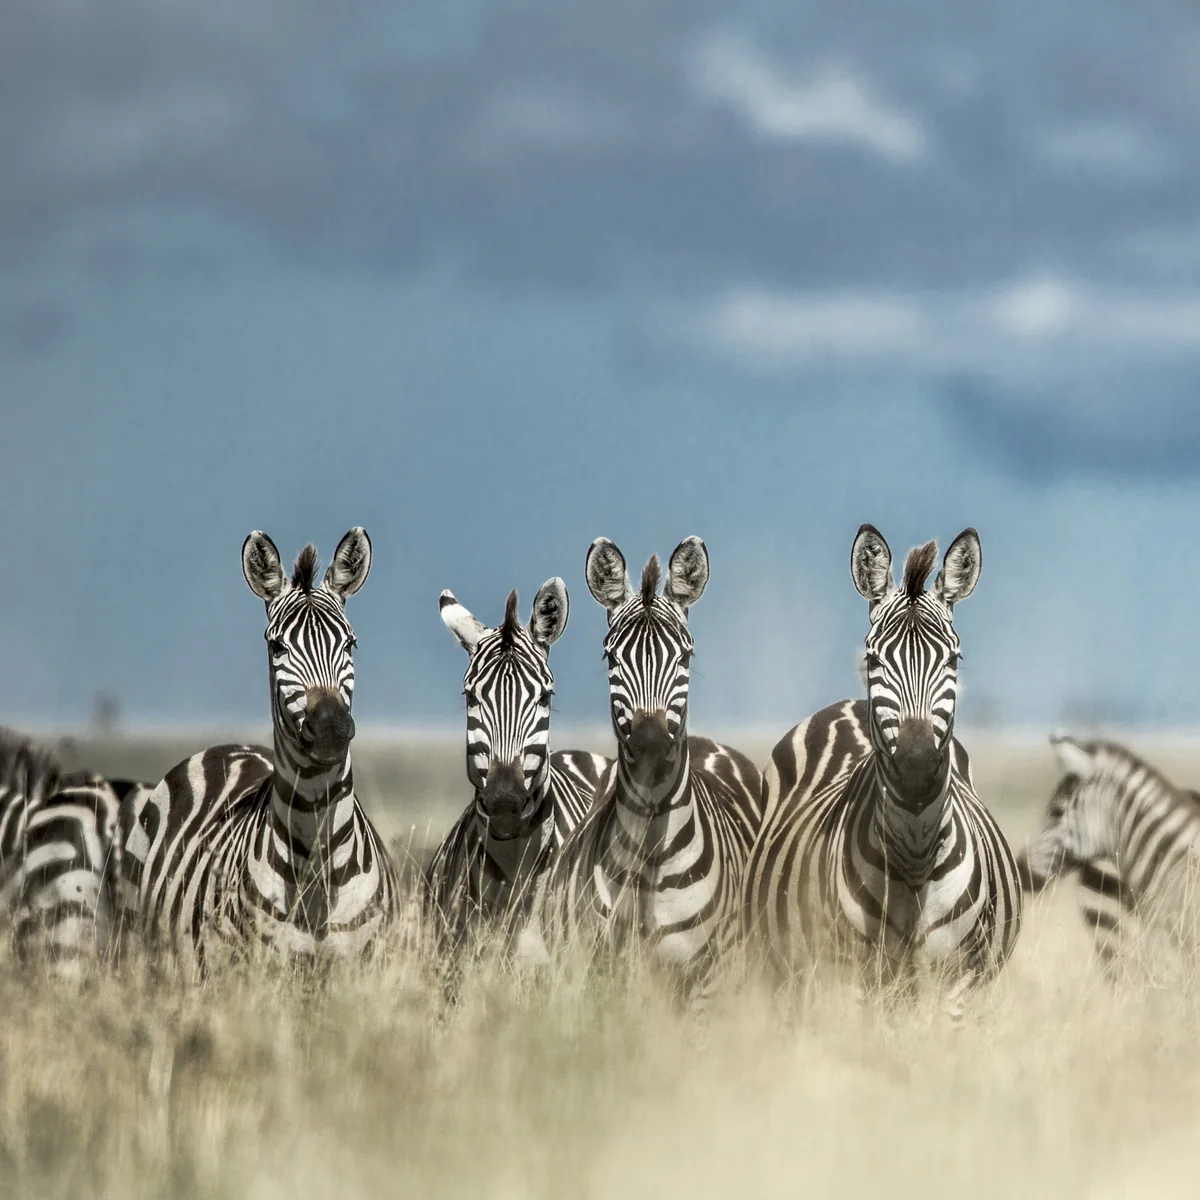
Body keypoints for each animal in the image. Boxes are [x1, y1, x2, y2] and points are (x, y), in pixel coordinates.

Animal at [530, 536, 763, 993]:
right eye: (610, 658)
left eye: (686, 656)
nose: (651, 742)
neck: (653, 856)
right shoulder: (601, 971)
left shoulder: (708, 979)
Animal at [744, 525, 1022, 1007]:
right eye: (873, 659)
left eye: (954, 659)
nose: (916, 765)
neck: (915, 857)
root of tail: (849, 704)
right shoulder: (856, 978)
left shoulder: (960, 982)